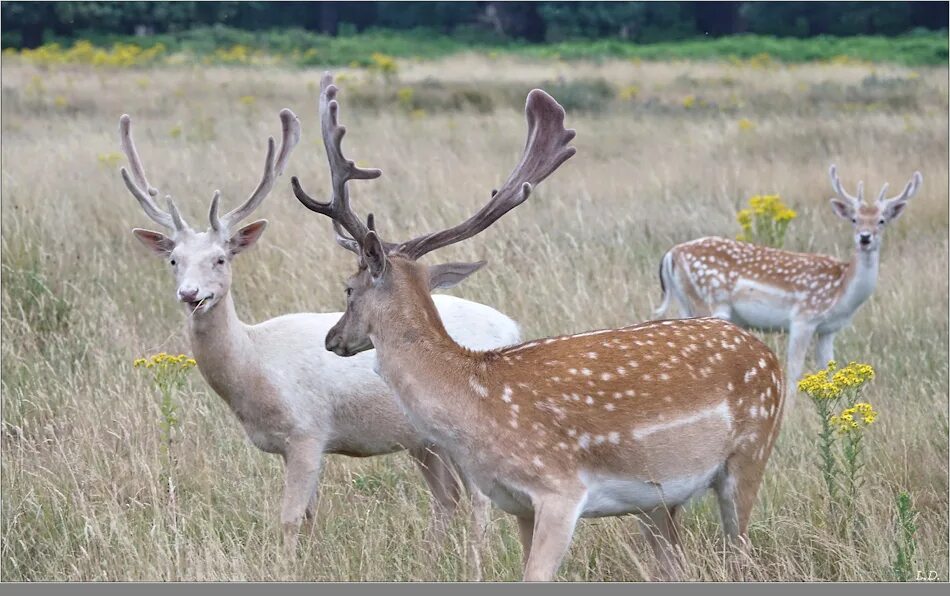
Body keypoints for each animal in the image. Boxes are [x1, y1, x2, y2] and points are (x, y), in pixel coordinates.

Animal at [120, 103, 524, 576]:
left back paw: (474, 564)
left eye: (220, 258)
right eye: (174, 260)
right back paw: (430, 561)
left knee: (478, 498)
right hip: (424, 441)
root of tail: (513, 328)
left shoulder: (308, 433)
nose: (191, 295)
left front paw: (285, 568)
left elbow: (290, 518)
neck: (256, 369)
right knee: (448, 497)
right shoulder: (289, 446)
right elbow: (310, 515)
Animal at [292, 75, 788, 584]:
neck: (473, 400)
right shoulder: (517, 504)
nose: (333, 338)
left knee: (742, 550)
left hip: (751, 452)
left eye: (348, 288)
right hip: (660, 502)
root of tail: (769, 356)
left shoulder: (559, 490)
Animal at [656, 165, 924, 394]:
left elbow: (829, 371)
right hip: (709, 301)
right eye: (854, 219)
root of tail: (672, 254)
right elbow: (794, 370)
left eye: (882, 220)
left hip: (687, 302)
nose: (865, 237)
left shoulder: (829, 330)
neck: (841, 290)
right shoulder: (803, 318)